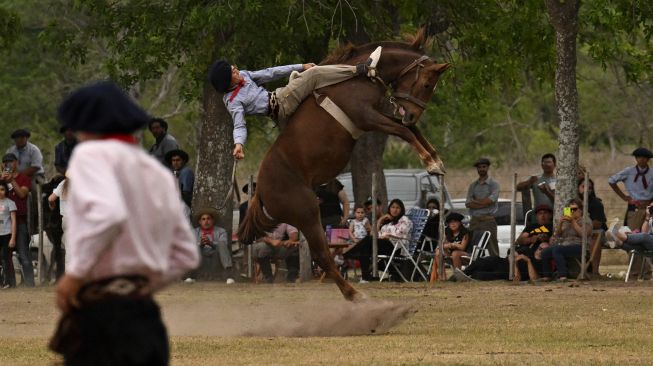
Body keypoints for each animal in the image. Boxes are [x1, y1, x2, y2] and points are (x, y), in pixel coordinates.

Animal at [239, 30, 448, 300]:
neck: (360, 78)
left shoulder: (380, 113)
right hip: (308, 215)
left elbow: (412, 130)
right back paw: (354, 295)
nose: (411, 114)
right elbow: (404, 130)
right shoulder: (366, 116)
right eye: (426, 85)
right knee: (323, 256)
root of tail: (261, 191)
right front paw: (430, 162)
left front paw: (436, 160)